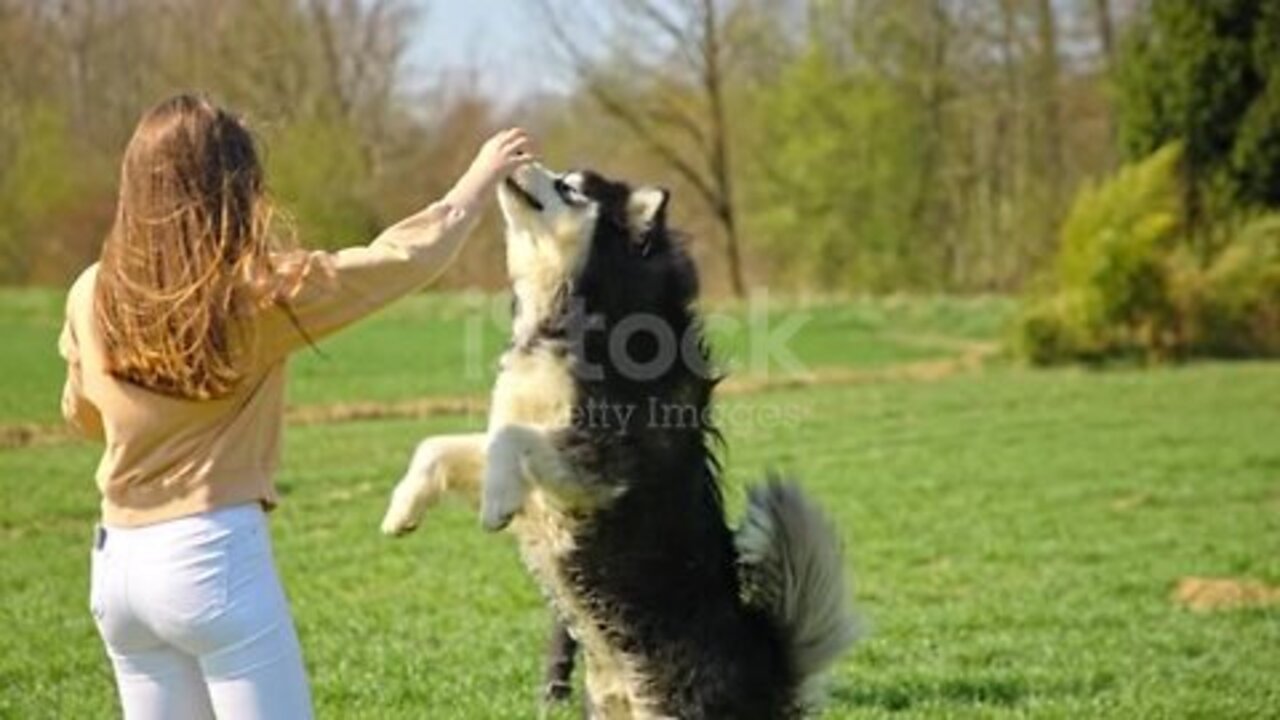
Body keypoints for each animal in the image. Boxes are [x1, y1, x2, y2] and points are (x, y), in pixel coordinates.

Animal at [378, 163, 860, 717]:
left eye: (569, 188)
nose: (517, 158)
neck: (576, 311)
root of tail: (769, 666)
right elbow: (439, 444)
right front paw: (402, 510)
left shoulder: (602, 464)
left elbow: (512, 441)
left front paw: (495, 505)